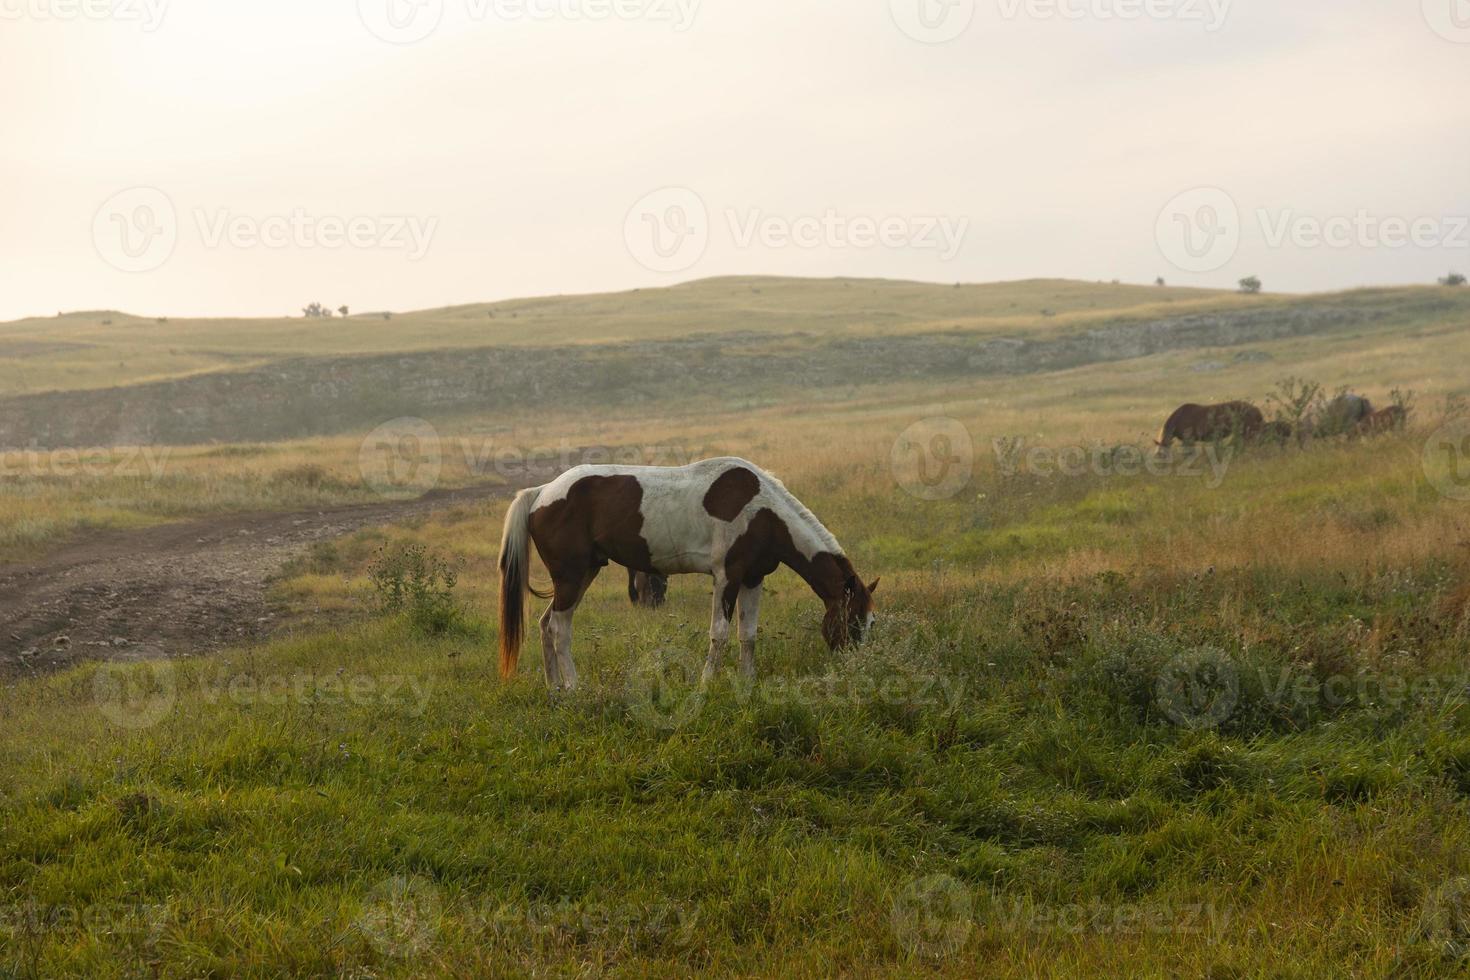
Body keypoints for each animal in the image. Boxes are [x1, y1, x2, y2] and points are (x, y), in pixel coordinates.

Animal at [499, 458, 876, 690]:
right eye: (854, 621)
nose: (855, 668)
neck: (763, 512)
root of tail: (541, 493)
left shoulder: (753, 579)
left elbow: (748, 634)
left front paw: (747, 682)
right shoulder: (726, 577)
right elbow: (719, 634)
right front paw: (707, 684)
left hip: (584, 574)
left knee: (546, 624)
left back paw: (555, 687)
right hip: (572, 576)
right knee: (560, 629)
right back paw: (575, 687)